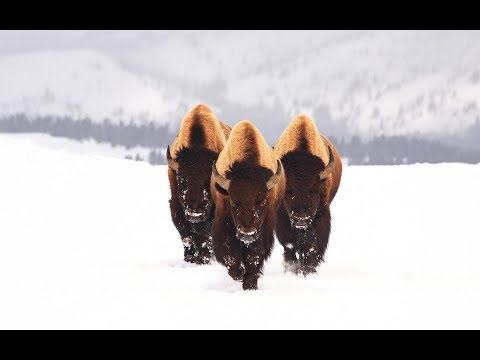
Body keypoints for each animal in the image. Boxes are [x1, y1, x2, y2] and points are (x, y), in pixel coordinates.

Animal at [167, 104, 231, 264]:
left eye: (208, 183)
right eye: (181, 180)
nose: (195, 213)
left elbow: (205, 237)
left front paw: (204, 258)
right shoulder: (176, 204)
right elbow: (186, 235)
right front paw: (190, 258)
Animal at [211, 121, 284, 290]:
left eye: (262, 201)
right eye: (233, 201)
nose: (247, 234)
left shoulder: (263, 230)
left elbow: (254, 256)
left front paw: (250, 284)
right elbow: (230, 255)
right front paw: (239, 274)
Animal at [274, 115, 342, 276]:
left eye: (314, 190)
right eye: (288, 190)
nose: (301, 219)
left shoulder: (322, 216)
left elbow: (312, 247)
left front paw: (308, 270)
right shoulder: (282, 219)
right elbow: (290, 246)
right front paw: (292, 270)